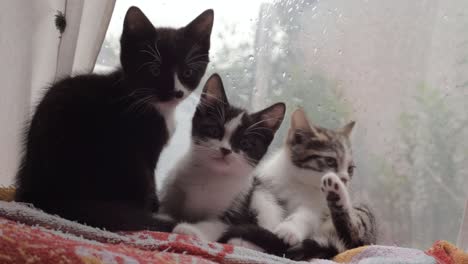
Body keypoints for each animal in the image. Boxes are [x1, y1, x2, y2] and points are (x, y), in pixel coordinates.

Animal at [13, 6, 214, 232]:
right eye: (154, 71)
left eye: (187, 72)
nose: (177, 92)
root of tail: (44, 194)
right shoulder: (146, 146)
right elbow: (151, 180)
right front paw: (154, 209)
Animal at [160, 73, 286, 241]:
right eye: (214, 131)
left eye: (245, 143)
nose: (225, 150)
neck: (212, 176)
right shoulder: (172, 187)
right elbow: (165, 209)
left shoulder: (236, 208)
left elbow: (216, 225)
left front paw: (190, 229)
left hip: (262, 197)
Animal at [219, 108, 376, 260]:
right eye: (330, 161)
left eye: (350, 169)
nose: (344, 179)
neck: (298, 182)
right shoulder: (263, 184)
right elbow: (266, 204)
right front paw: (268, 227)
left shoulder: (318, 208)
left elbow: (307, 214)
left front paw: (288, 230)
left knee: (352, 237)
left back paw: (335, 192)